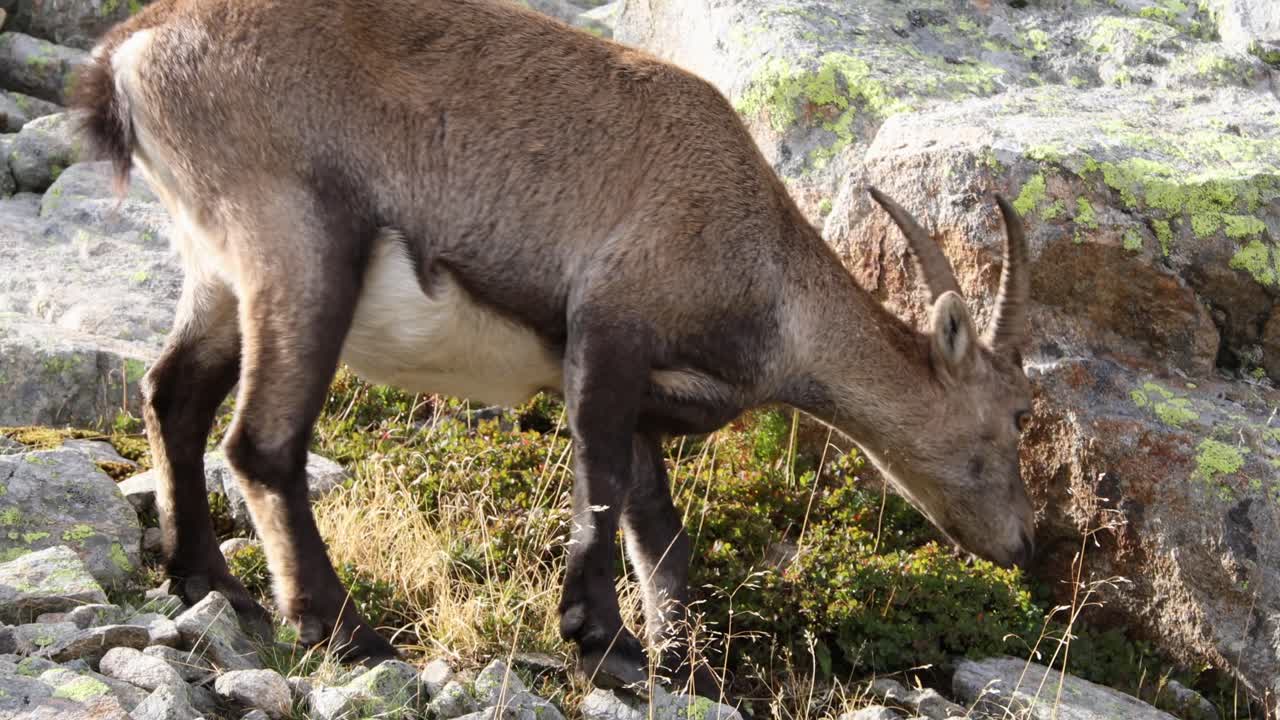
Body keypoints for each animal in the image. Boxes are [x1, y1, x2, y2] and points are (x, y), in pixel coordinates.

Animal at [73, 0, 1035, 696]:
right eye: (1018, 414)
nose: (1026, 544)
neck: (764, 271)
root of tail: (128, 52)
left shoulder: (648, 392)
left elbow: (660, 532)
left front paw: (680, 661)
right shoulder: (609, 328)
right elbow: (601, 484)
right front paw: (598, 639)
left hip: (217, 275)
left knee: (172, 394)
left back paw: (211, 586)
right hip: (299, 246)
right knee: (261, 442)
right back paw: (345, 633)